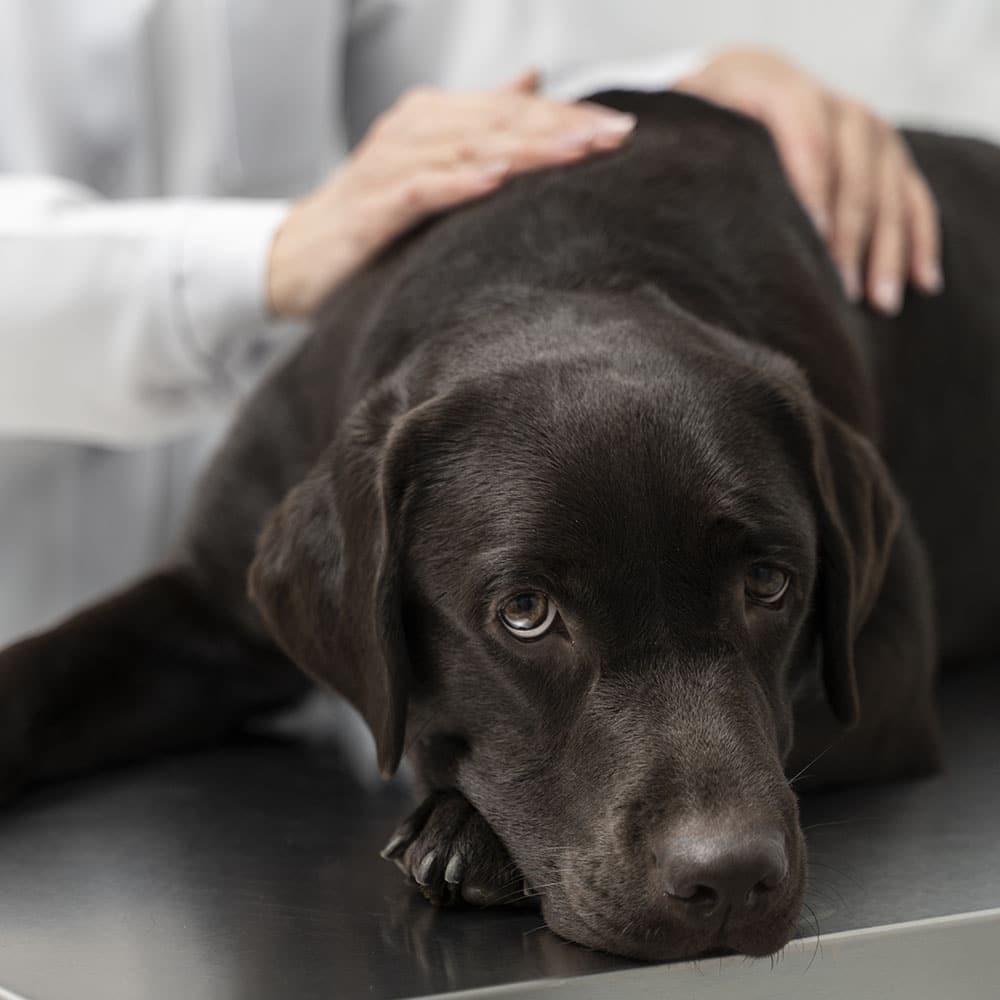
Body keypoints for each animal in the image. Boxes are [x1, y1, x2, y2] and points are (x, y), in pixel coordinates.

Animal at [1, 94, 1000, 960]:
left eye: (769, 584)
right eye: (524, 612)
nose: (728, 881)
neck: (557, 268)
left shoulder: (886, 662)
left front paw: (467, 831)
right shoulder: (205, 604)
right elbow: (41, 674)